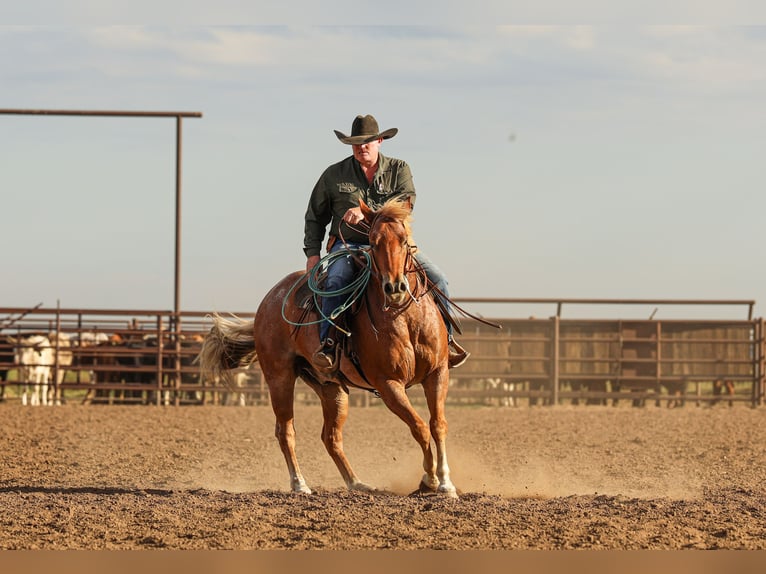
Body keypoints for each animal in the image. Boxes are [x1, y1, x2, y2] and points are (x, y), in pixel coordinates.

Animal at [198, 198, 458, 497]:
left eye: (404, 240)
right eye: (373, 242)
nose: (395, 287)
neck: (404, 318)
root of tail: (268, 302)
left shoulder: (438, 373)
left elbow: (437, 425)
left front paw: (446, 483)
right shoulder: (388, 384)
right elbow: (419, 427)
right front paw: (429, 479)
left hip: (331, 387)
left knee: (330, 437)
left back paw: (357, 483)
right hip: (279, 378)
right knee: (285, 431)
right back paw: (300, 484)